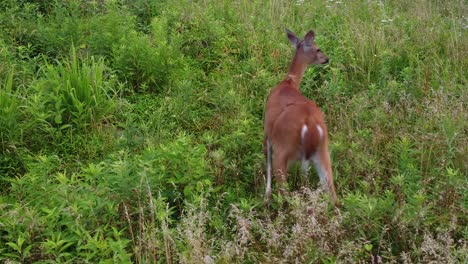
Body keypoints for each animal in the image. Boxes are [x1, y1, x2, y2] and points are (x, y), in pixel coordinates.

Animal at [262, 28, 338, 206]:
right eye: (318, 49)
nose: (326, 59)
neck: (288, 83)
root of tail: (309, 123)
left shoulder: (267, 130)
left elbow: (267, 163)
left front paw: (266, 196)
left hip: (283, 149)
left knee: (285, 194)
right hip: (323, 150)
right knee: (333, 194)